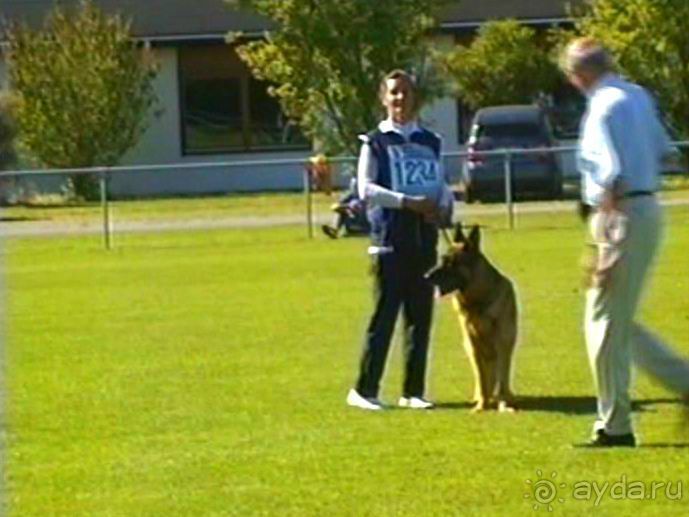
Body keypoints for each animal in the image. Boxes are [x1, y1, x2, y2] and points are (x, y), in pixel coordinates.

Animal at [424, 224, 516, 410]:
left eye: (451, 263)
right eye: (442, 260)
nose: (426, 276)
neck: (478, 302)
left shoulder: (502, 343)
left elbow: (502, 379)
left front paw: (503, 404)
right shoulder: (473, 344)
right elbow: (481, 379)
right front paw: (481, 405)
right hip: (469, 347)